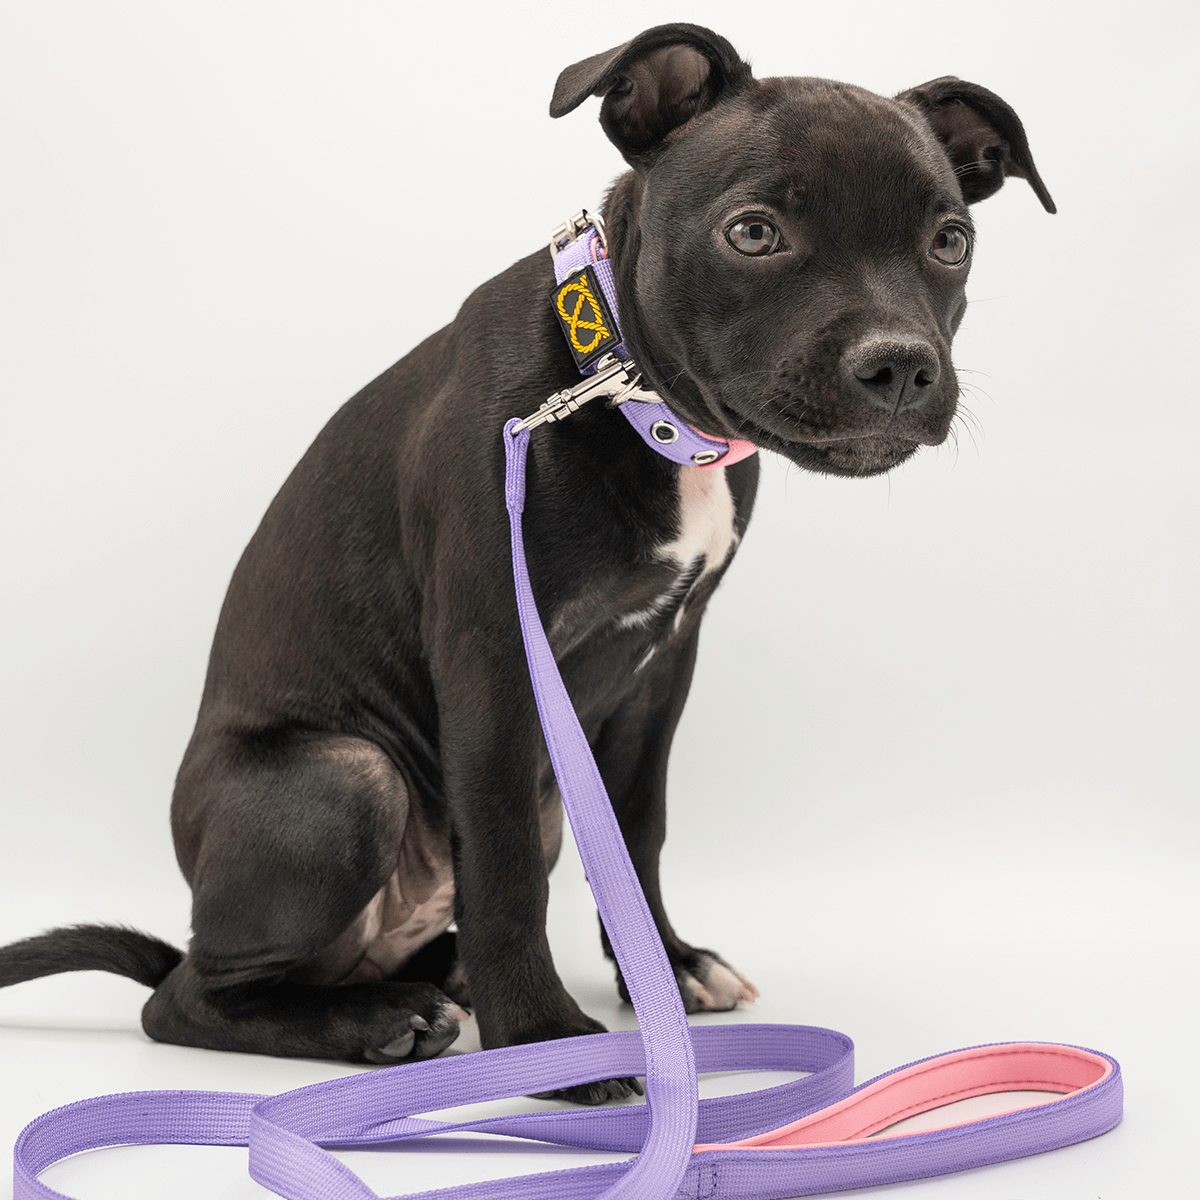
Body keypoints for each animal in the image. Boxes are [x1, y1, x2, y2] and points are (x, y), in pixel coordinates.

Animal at [0, 21, 1051, 1104]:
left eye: (951, 241)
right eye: (754, 233)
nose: (901, 366)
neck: (622, 389)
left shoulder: (661, 668)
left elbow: (635, 828)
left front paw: (665, 970)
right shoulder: (495, 659)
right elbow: (500, 857)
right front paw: (545, 1040)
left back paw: (437, 983)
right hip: (346, 778)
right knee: (190, 998)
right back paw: (378, 1021)